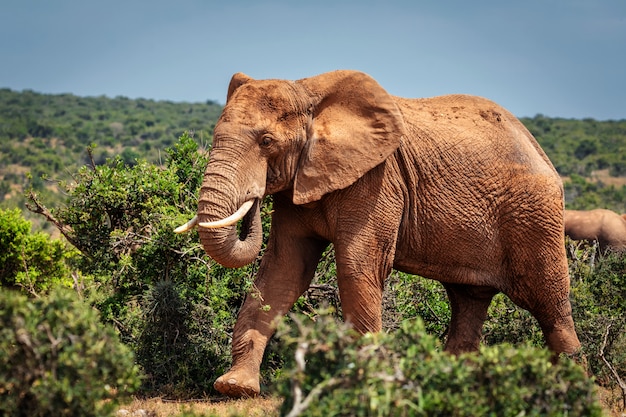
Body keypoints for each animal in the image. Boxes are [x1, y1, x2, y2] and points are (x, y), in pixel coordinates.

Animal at [173, 69, 576, 396]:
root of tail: (536, 146)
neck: (308, 92)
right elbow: (283, 272)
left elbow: (356, 268)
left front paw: (360, 386)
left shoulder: (377, 180)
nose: (253, 201)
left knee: (549, 300)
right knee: (468, 301)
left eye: (266, 142)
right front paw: (235, 388)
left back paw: (572, 390)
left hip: (534, 215)